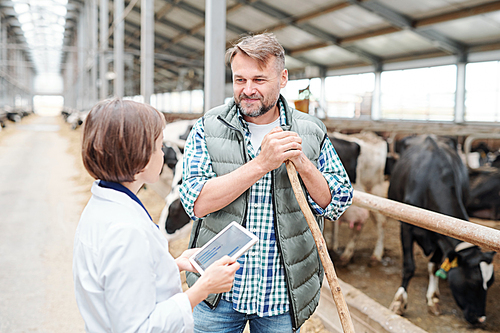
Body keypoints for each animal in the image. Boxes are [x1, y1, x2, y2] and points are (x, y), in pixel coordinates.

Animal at [388, 134, 494, 322]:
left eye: (490, 282)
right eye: (472, 282)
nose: (481, 319)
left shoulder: (440, 234)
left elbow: (434, 266)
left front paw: (434, 299)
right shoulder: (406, 226)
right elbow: (408, 266)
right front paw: (399, 301)